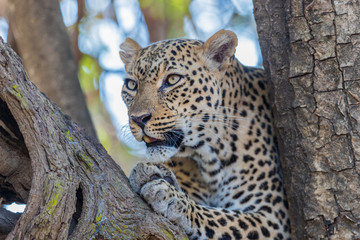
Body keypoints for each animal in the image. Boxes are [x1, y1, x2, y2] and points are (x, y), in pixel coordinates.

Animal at [119, 29, 292, 239]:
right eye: (131, 85)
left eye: (173, 79)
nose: (138, 118)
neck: (210, 156)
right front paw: (155, 174)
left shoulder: (274, 217)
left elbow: (221, 218)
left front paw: (173, 199)